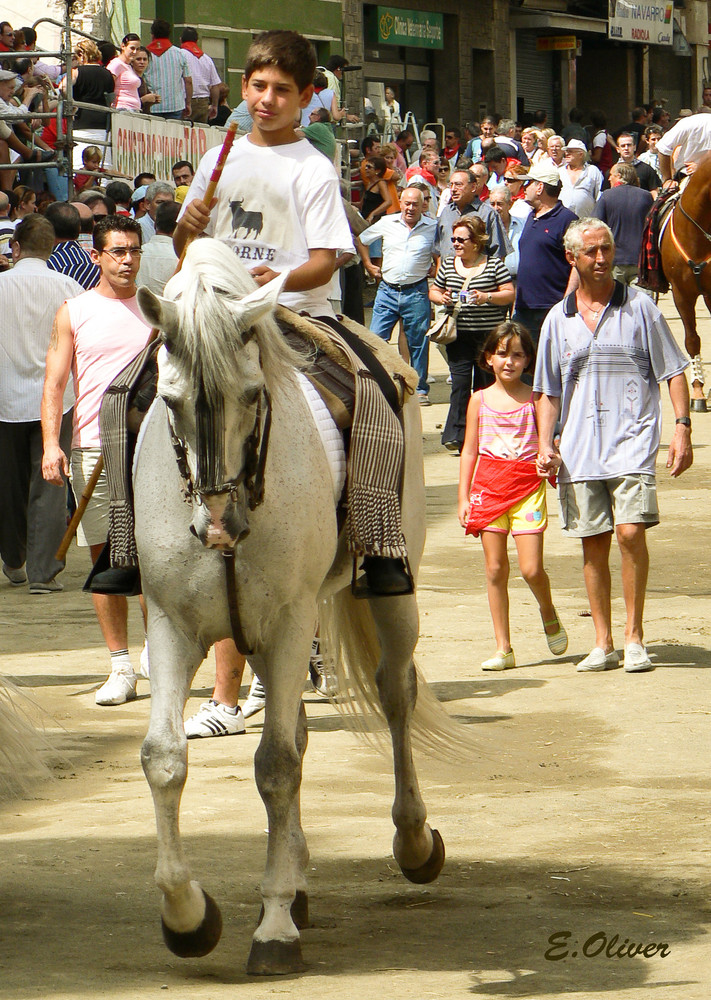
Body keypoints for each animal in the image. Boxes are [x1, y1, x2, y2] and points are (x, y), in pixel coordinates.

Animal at [134, 240, 462, 976]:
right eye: (168, 399)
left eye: (254, 396)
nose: (218, 527)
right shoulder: (174, 627)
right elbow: (164, 757)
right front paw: (188, 917)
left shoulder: (287, 624)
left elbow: (276, 766)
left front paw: (275, 928)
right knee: (305, 730)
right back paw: (302, 877)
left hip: (387, 595)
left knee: (394, 694)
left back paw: (413, 843)